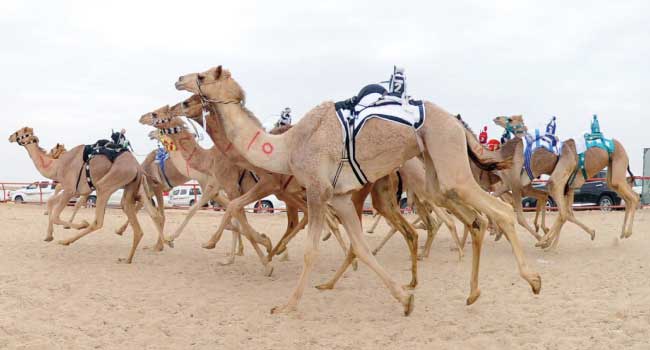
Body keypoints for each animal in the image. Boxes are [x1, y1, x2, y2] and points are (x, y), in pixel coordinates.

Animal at [8, 126, 162, 262]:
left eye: (18, 132)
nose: (10, 137)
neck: (57, 166)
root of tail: (138, 167)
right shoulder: (76, 190)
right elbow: (53, 204)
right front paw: (48, 236)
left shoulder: (70, 189)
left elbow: (56, 216)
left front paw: (80, 224)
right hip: (132, 187)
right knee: (146, 216)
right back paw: (129, 257)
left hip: (107, 184)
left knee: (98, 221)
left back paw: (66, 240)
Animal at [171, 65, 536, 314]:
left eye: (202, 77)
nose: (178, 79)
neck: (287, 146)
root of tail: (457, 123)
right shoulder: (342, 198)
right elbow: (359, 247)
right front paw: (404, 299)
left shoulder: (317, 191)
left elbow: (311, 250)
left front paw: (286, 305)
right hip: (437, 174)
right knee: (474, 219)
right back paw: (472, 292)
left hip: (448, 161)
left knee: (500, 212)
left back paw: (533, 280)